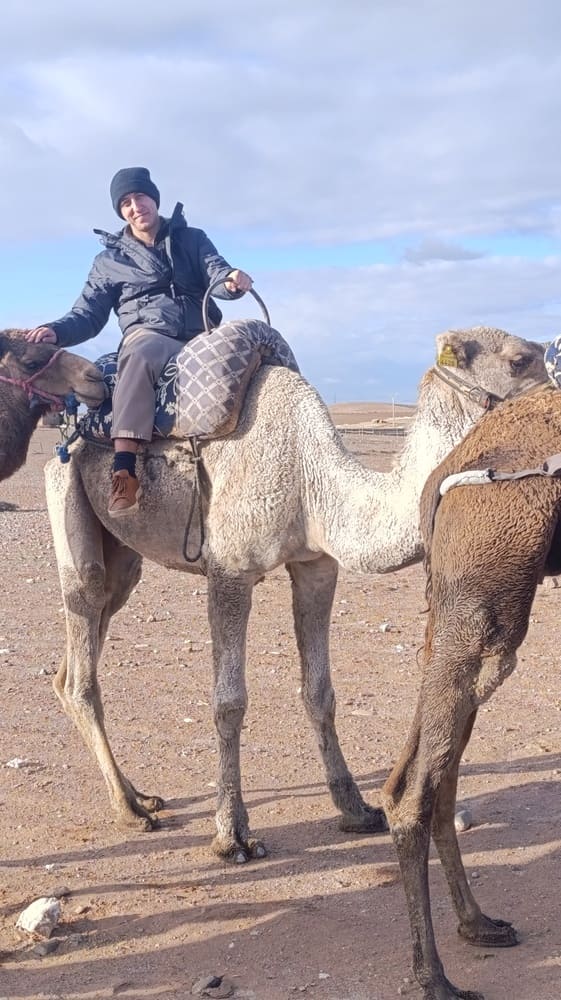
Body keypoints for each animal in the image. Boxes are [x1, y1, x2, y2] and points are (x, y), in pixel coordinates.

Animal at [0, 325, 546, 864]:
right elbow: (229, 702)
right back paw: (129, 810)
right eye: (521, 359)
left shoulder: (317, 565)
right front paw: (233, 834)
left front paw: (355, 808)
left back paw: (141, 795)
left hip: (123, 561)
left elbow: (320, 692)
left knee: (73, 661)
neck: (313, 477)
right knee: (82, 659)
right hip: (68, 502)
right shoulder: (230, 571)